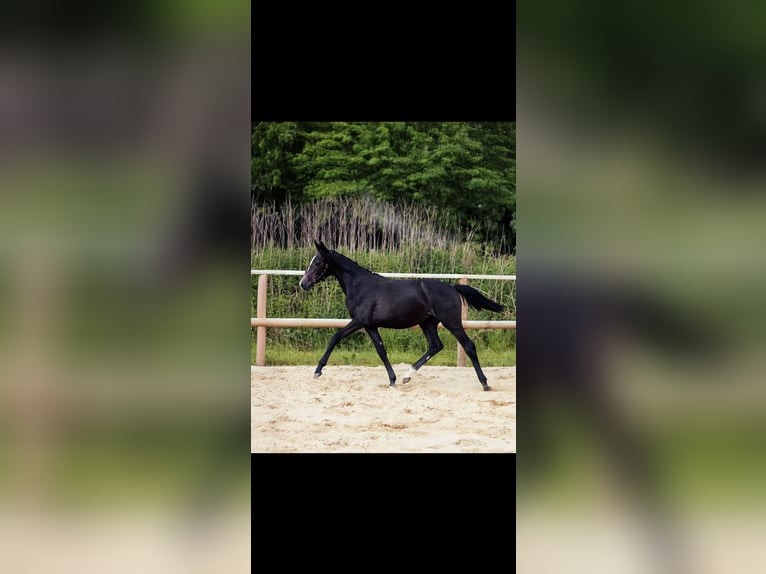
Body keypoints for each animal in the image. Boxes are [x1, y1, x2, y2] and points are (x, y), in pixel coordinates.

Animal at [299, 240, 505, 390]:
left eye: (318, 262)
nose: (303, 283)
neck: (360, 286)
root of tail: (452, 287)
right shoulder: (368, 325)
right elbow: (377, 349)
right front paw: (392, 380)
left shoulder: (361, 322)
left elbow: (339, 338)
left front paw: (317, 371)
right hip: (428, 323)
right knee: (435, 346)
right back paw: (407, 376)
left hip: (451, 322)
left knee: (469, 346)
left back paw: (485, 383)